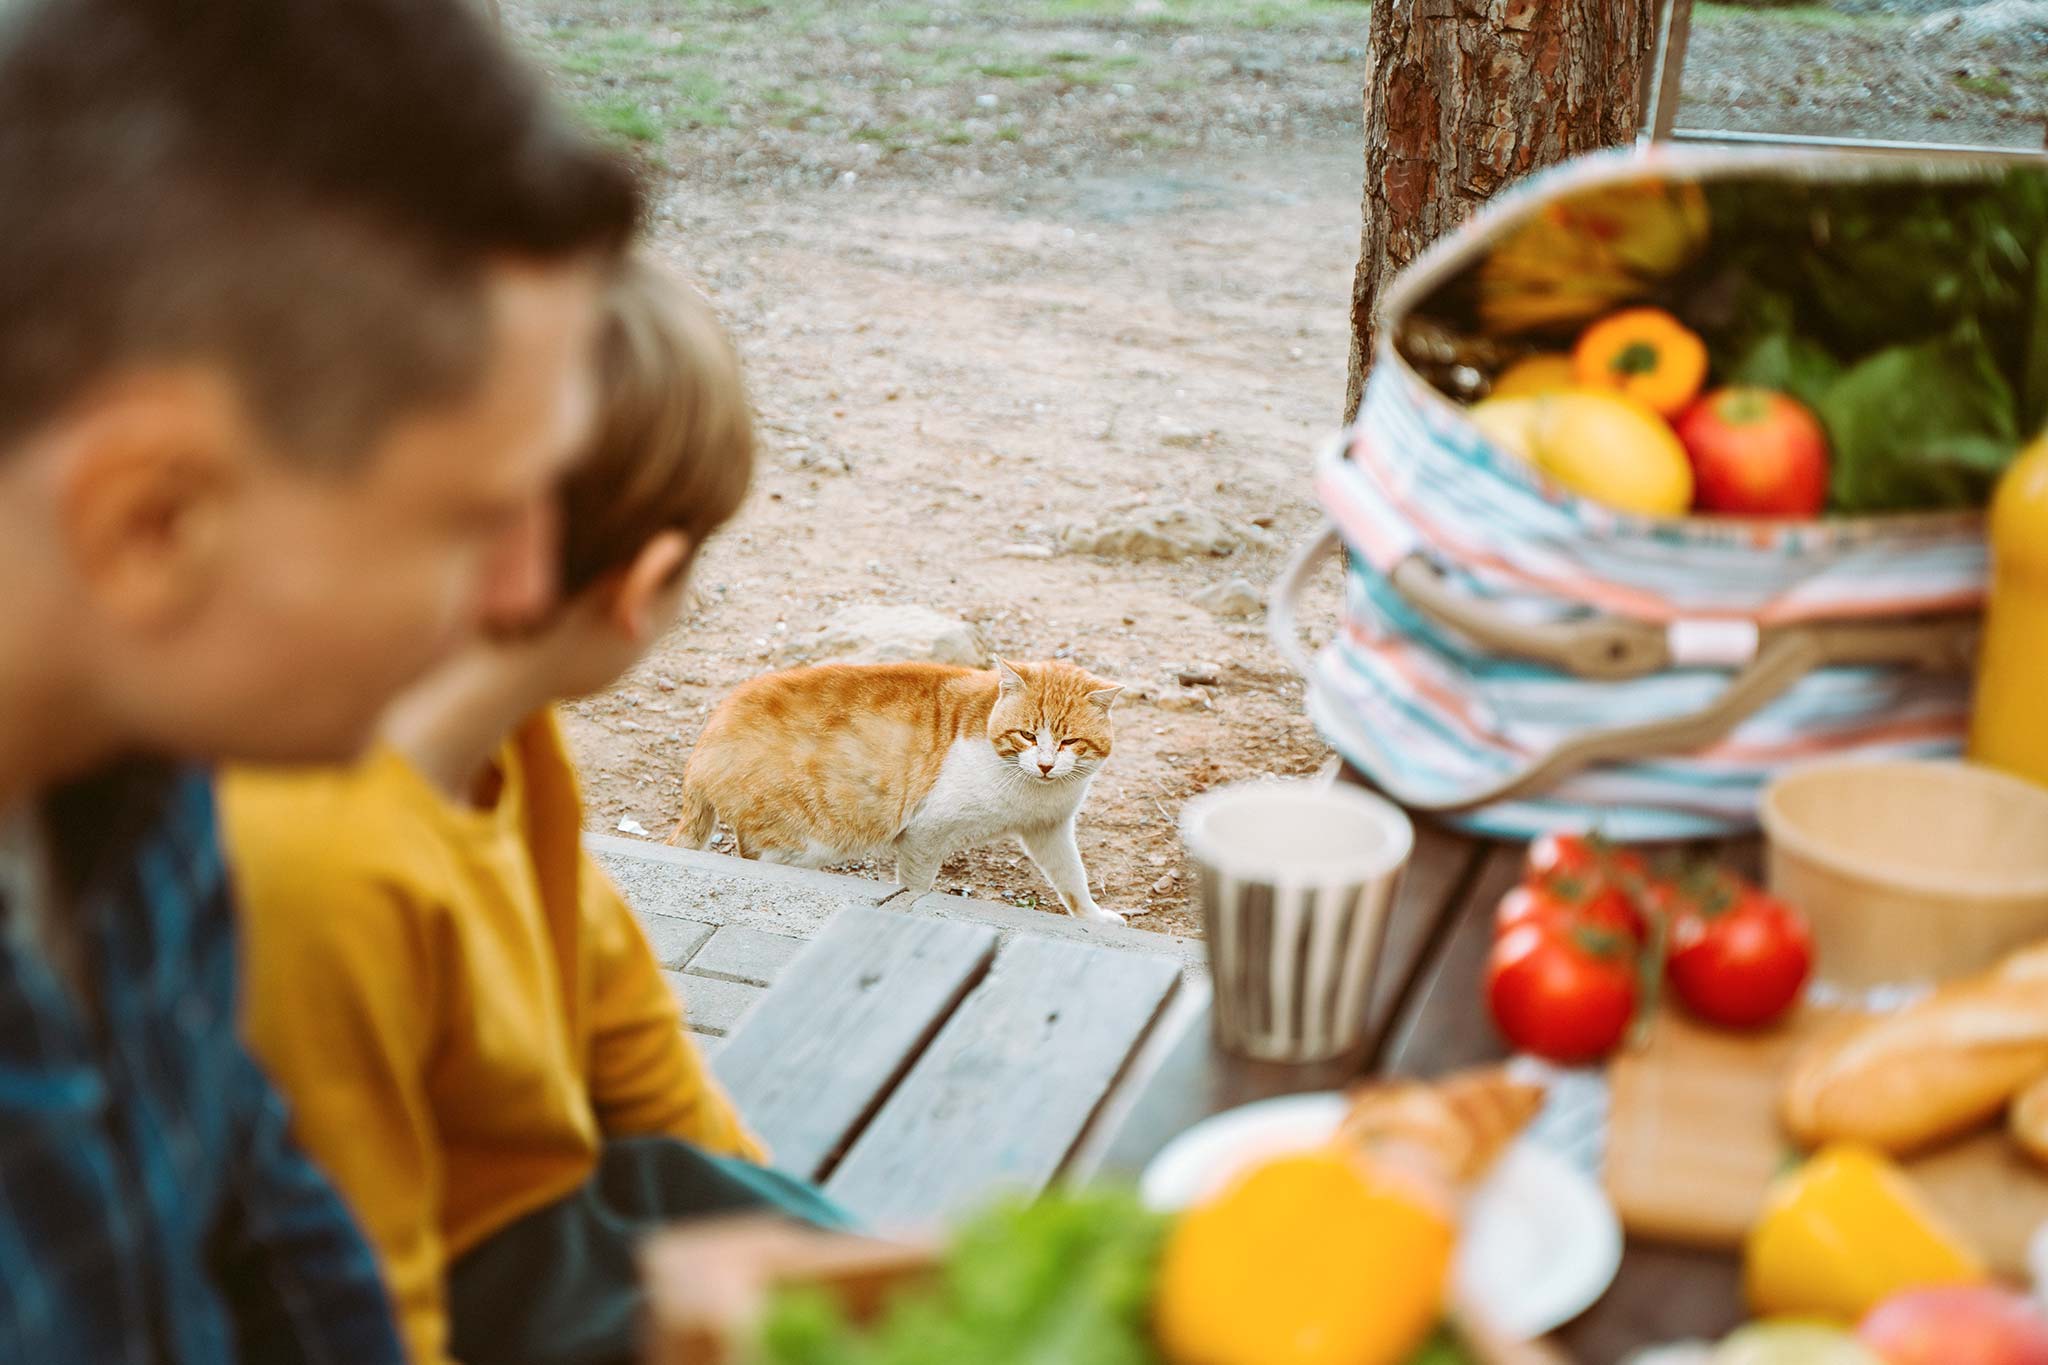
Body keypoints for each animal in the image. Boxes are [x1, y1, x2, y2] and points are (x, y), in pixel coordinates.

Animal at [671, 663, 1130, 929]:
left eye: (1069, 741)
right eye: (1028, 735)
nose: (1047, 765)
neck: (1034, 790)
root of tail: (703, 747)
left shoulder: (1050, 827)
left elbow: (1072, 877)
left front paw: (1092, 917)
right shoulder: (926, 835)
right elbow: (916, 886)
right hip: (806, 843)